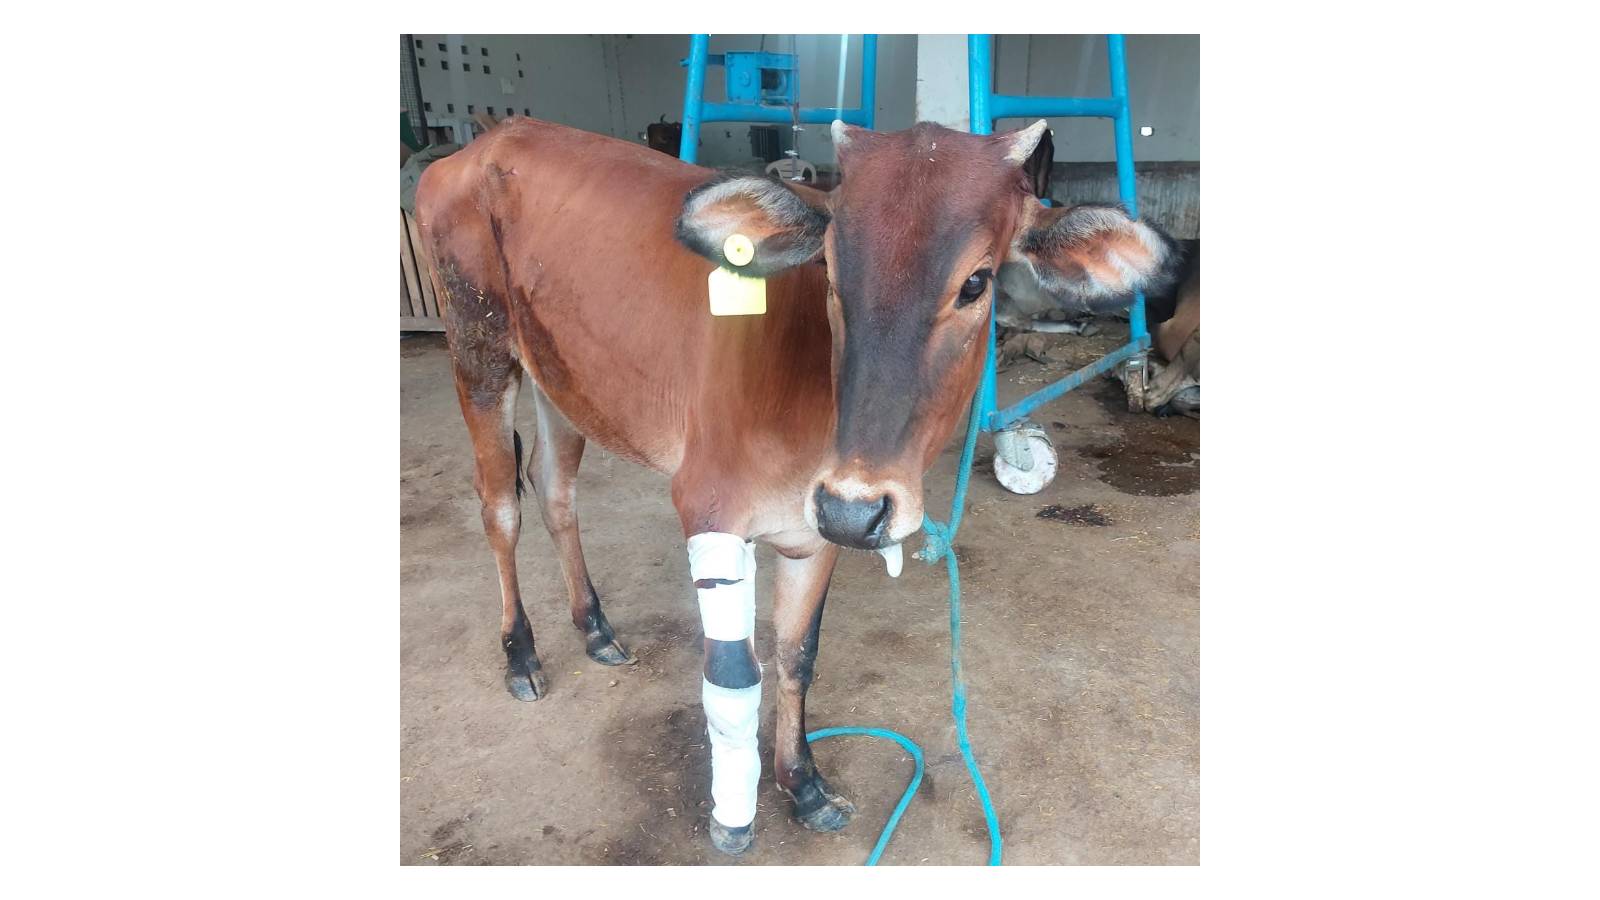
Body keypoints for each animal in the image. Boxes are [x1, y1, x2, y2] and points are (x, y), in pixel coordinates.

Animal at [413, 116, 1180, 856]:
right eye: (832, 274)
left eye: (976, 282)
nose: (858, 505)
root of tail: (488, 141)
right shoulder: (710, 507)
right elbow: (733, 674)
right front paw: (734, 817)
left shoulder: (817, 526)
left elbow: (796, 655)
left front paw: (803, 783)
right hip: (478, 352)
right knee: (501, 508)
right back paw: (521, 653)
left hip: (562, 380)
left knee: (553, 491)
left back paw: (595, 626)